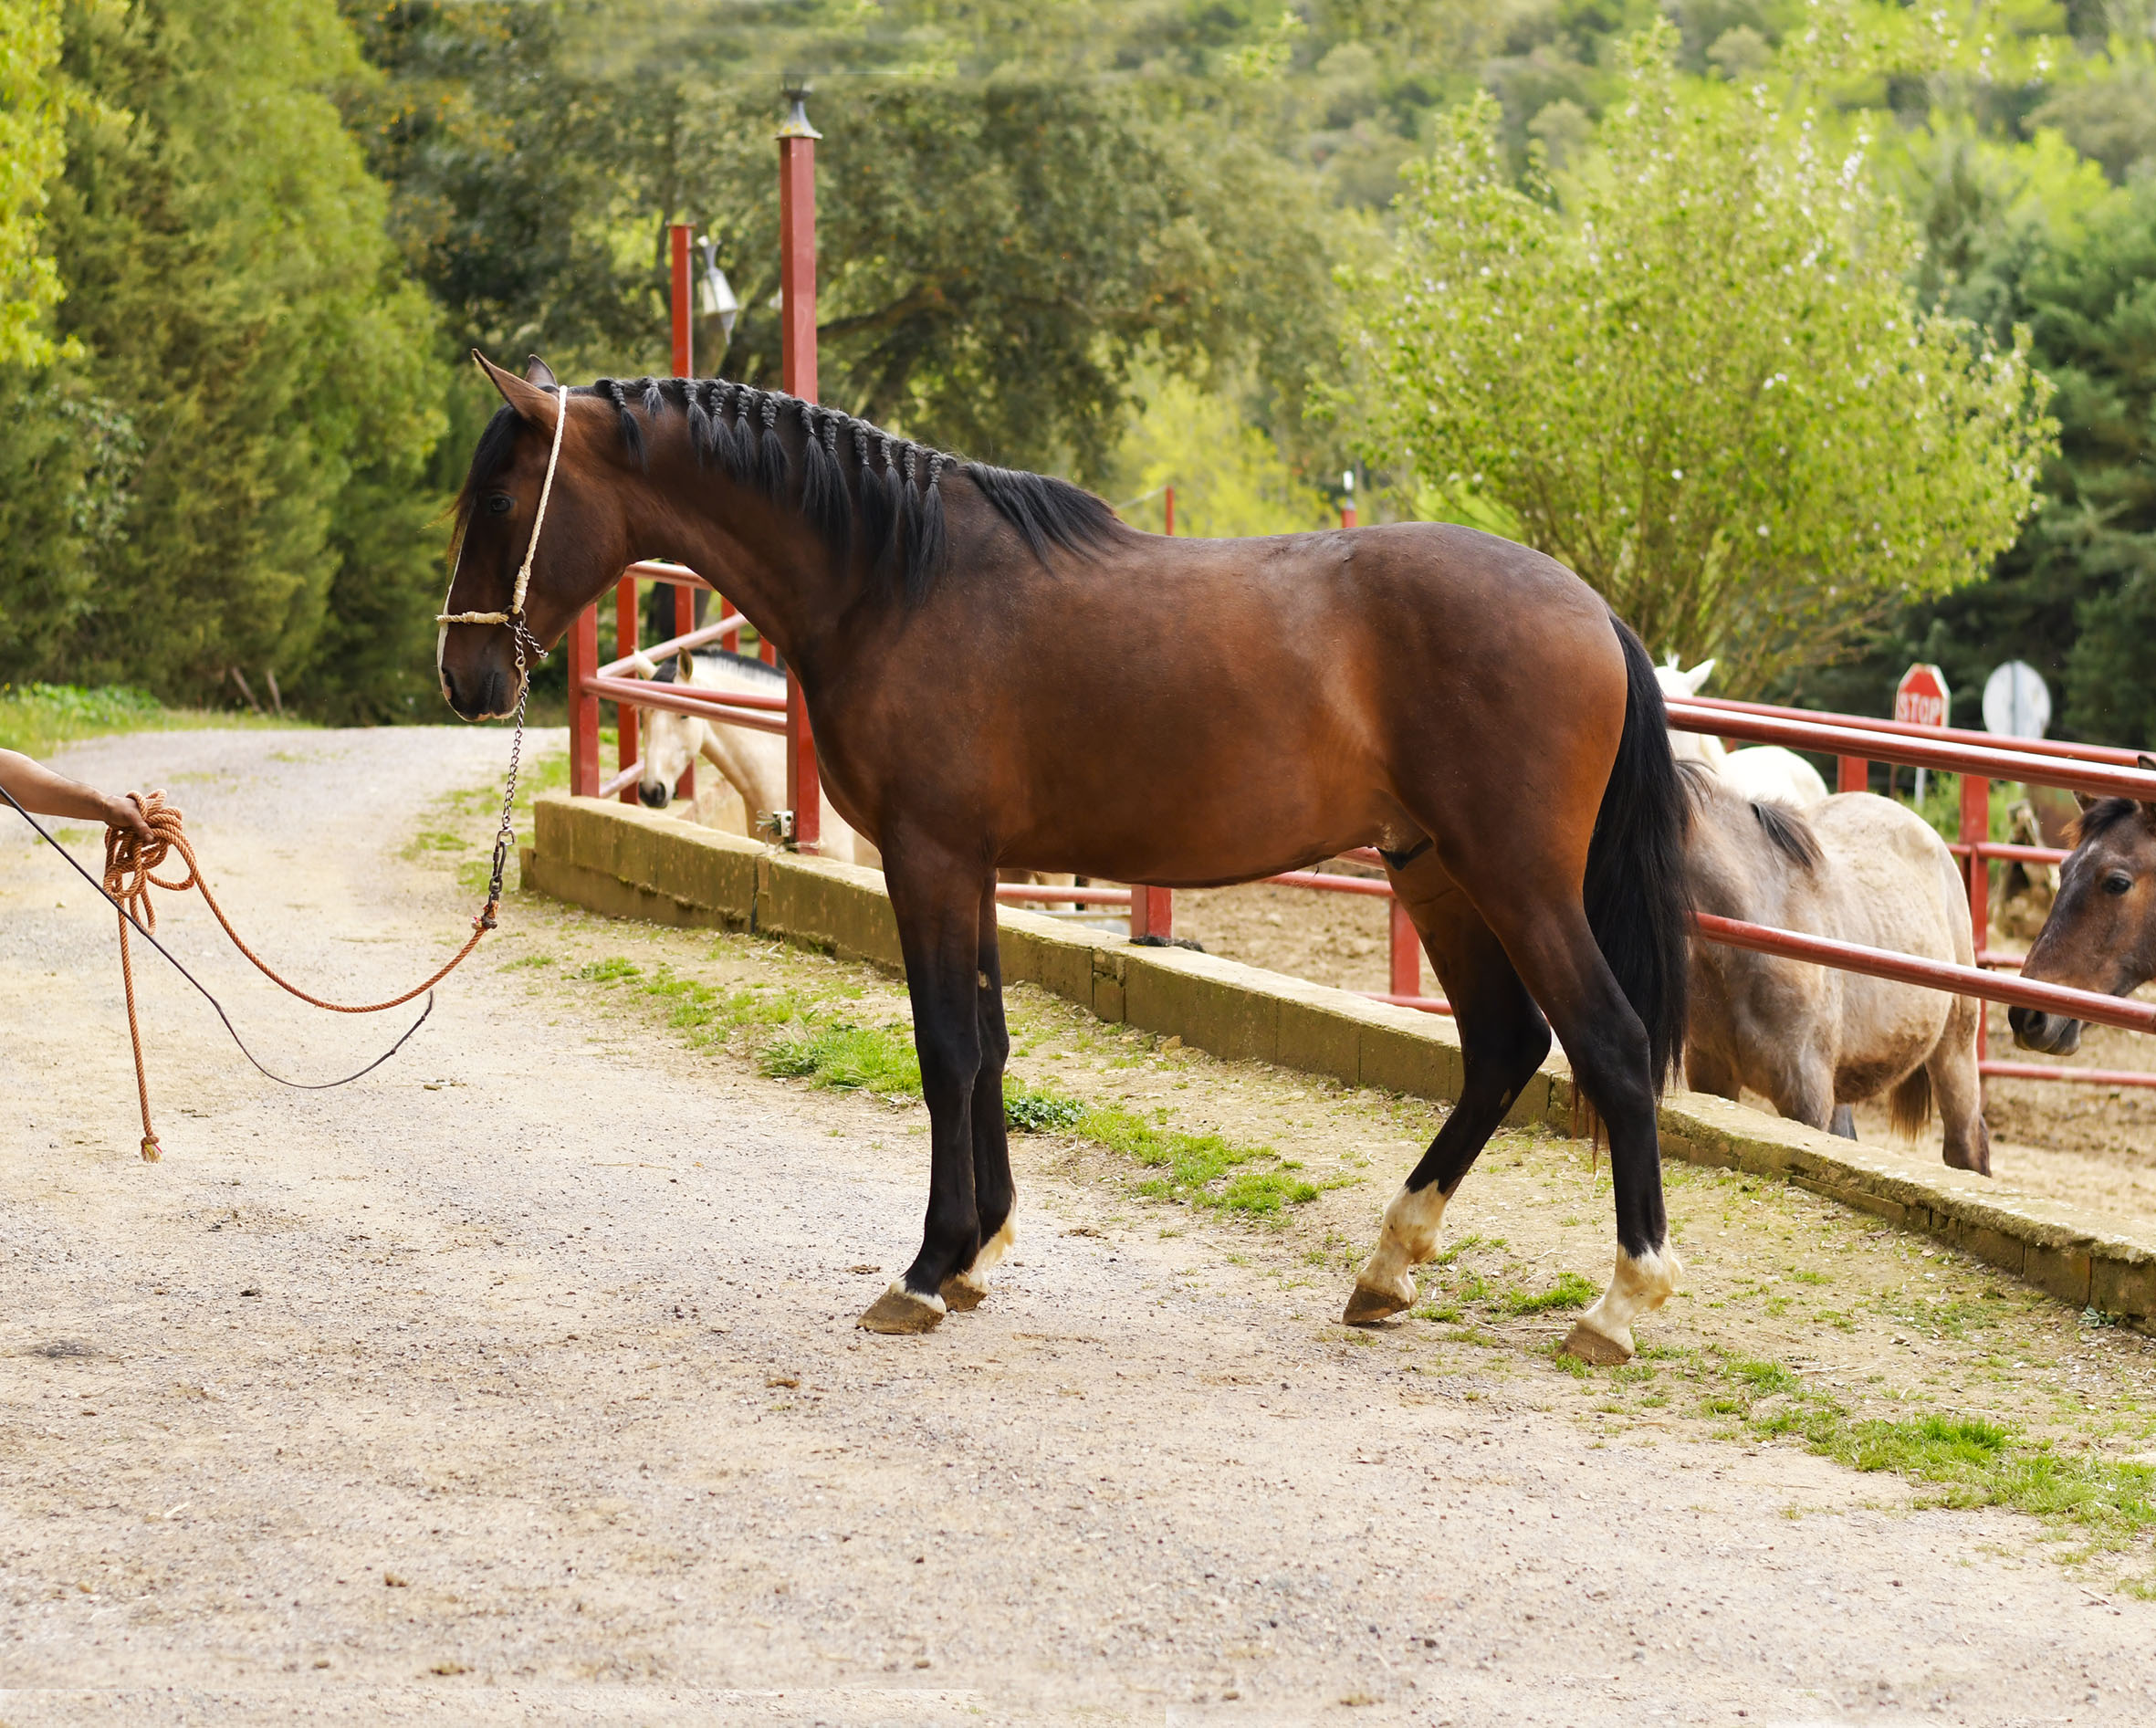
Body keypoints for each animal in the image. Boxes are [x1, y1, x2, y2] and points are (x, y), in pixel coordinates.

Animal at [429, 353, 1690, 1363]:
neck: (898, 579)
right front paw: (979, 1254)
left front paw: (925, 1272)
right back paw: (1387, 1267)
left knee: (1612, 1046)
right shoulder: (975, 865)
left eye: (496, 497)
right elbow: (987, 1047)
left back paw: (1619, 1305)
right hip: (1432, 871)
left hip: (1514, 878)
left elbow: (944, 1049)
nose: (463, 678)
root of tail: (1593, 613)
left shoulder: (929, 857)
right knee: (1500, 1048)